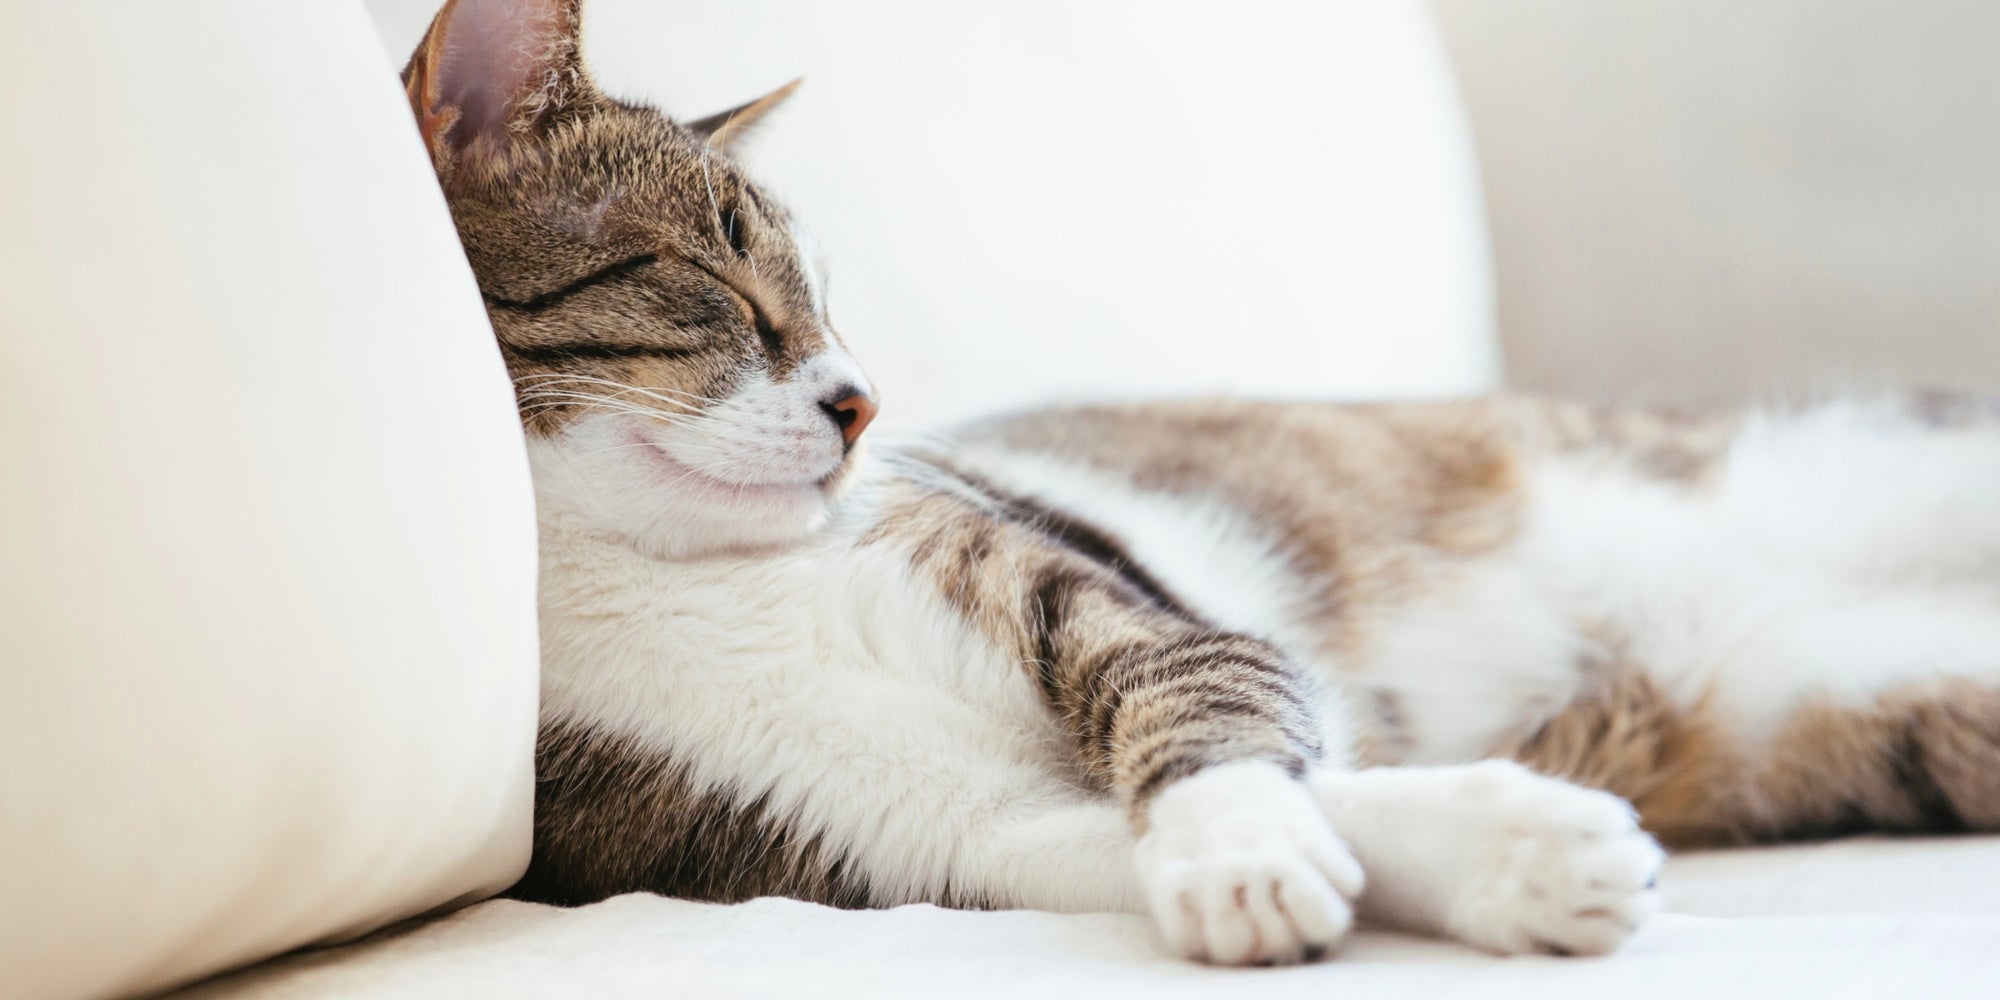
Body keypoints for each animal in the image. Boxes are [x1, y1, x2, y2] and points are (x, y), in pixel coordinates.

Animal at [402, 0, 2000, 968]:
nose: (861, 406)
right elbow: (1158, 820)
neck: (675, 579)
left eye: (830, 307)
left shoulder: (1094, 589)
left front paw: (1261, 838)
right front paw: (1498, 852)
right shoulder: (865, 836)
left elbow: (1210, 701)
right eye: (721, 287)